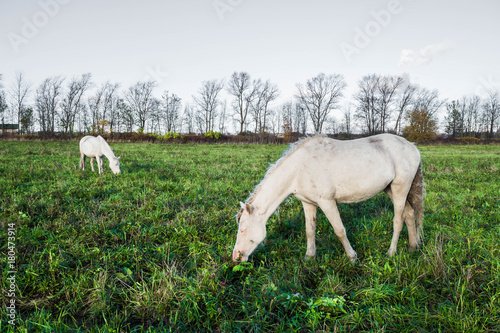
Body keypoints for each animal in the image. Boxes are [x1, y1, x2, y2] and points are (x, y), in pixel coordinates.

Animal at [232, 134, 424, 264]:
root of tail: (413, 147)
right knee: (409, 213)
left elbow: (339, 230)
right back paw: (413, 247)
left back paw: (391, 253)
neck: (299, 169)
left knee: (398, 220)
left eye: (243, 229)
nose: (235, 257)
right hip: (390, 189)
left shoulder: (327, 202)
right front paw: (309, 257)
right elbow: (310, 230)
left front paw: (352, 258)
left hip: (400, 189)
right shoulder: (308, 203)